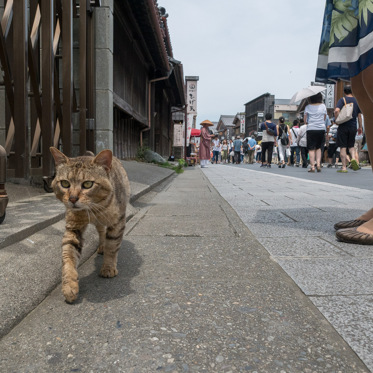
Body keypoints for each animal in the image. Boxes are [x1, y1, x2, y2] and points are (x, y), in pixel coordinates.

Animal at [49, 145, 131, 302]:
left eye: (87, 184)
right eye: (65, 183)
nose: (72, 199)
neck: (92, 211)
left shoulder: (117, 222)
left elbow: (112, 246)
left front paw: (108, 267)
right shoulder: (73, 227)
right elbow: (68, 255)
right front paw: (69, 286)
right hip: (98, 225)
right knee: (101, 232)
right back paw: (101, 246)